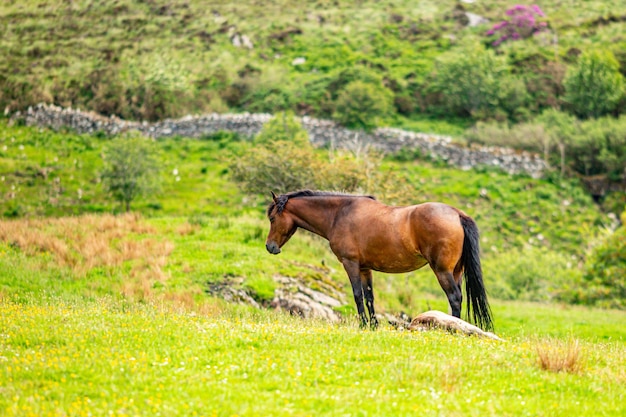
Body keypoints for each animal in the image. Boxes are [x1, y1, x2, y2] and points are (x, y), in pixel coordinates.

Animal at [264, 190, 492, 330]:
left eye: (272, 218)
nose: (270, 247)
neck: (339, 213)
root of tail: (457, 214)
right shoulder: (365, 269)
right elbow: (369, 297)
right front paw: (373, 325)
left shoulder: (351, 264)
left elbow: (357, 295)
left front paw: (363, 324)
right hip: (456, 271)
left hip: (442, 271)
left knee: (454, 297)